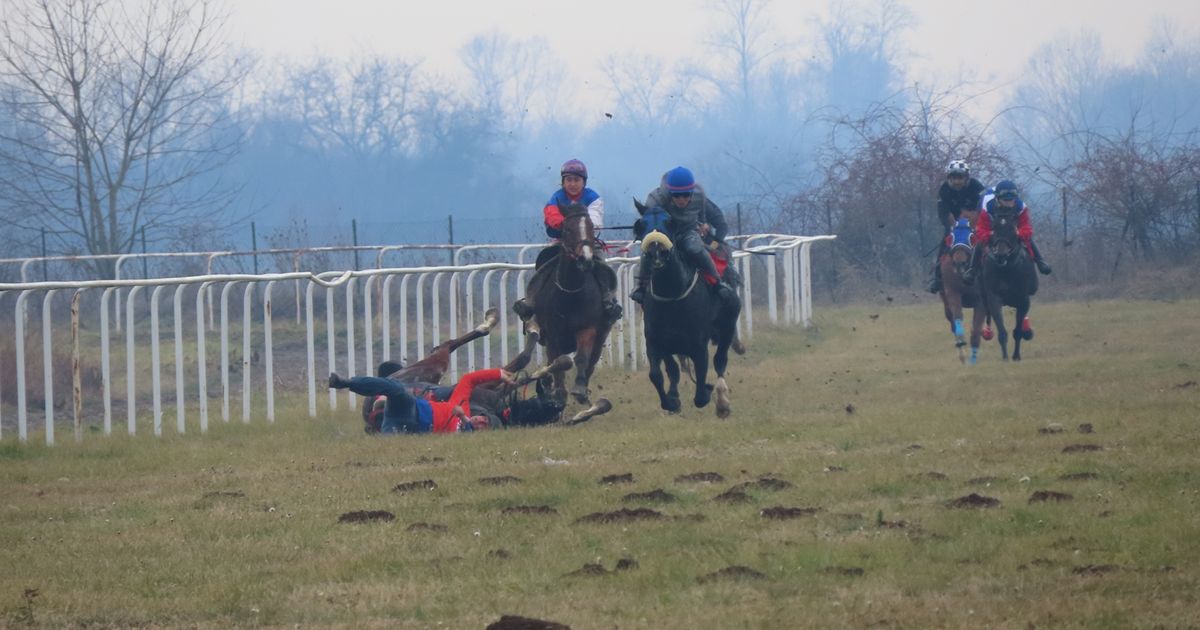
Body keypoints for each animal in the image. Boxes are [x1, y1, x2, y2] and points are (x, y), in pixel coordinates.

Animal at [643, 228, 734, 415]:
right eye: (648, 252)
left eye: (666, 250)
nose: (656, 260)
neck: (672, 299)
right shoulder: (656, 342)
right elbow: (658, 374)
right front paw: (671, 402)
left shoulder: (698, 346)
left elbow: (701, 380)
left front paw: (706, 391)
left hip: (728, 327)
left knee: (720, 361)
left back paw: (722, 401)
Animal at [940, 210, 988, 362]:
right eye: (951, 237)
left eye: (972, 237)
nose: (959, 263)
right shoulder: (952, 292)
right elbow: (957, 319)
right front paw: (962, 348)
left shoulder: (980, 299)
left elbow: (976, 330)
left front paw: (973, 360)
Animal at [979, 206, 1036, 360]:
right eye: (994, 228)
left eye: (1012, 229)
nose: (1000, 255)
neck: (1007, 270)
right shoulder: (994, 297)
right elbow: (1002, 331)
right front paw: (1005, 357)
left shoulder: (1023, 299)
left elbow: (1018, 331)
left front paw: (1016, 356)